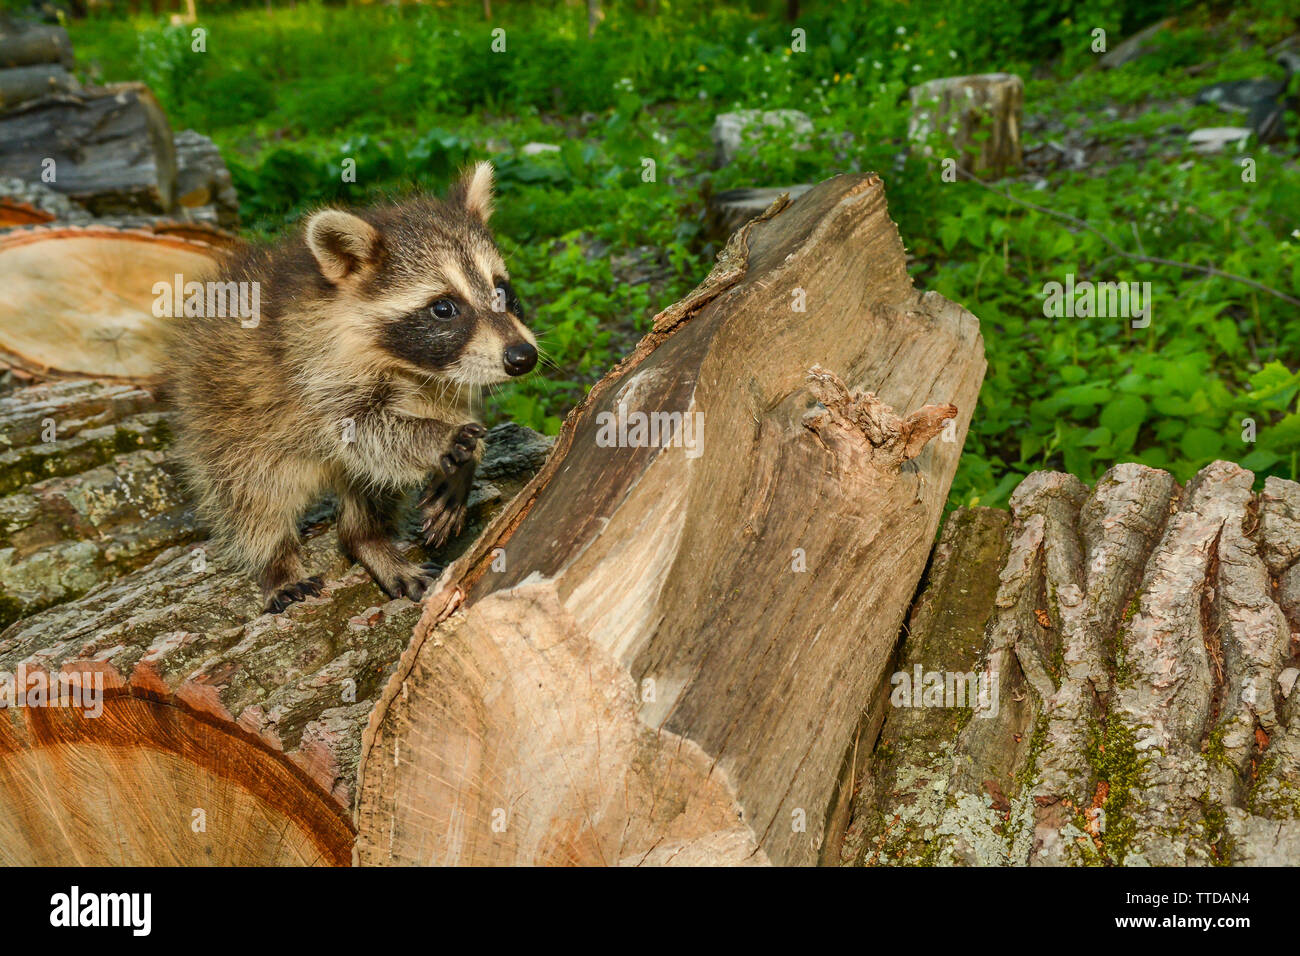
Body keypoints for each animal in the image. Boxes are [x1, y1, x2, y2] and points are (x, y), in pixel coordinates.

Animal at [162, 163, 538, 613]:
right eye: (443, 308)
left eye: (501, 290)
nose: (523, 357)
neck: (408, 366)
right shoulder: (309, 370)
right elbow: (359, 428)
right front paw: (437, 438)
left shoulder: (442, 377)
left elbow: (443, 414)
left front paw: (466, 459)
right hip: (221, 416)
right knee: (251, 497)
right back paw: (276, 561)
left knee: (369, 486)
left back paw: (365, 538)